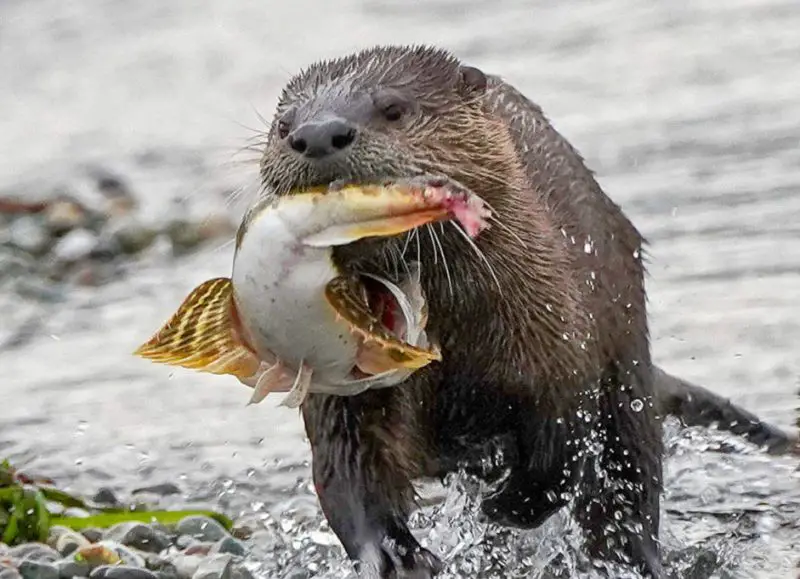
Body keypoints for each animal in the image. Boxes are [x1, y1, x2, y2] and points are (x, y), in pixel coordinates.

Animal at [255, 45, 798, 578]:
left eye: (393, 108)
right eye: (284, 125)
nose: (317, 134)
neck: (456, 343)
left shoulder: (562, 343)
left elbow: (559, 452)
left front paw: (507, 506)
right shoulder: (341, 391)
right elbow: (347, 469)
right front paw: (393, 555)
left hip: (629, 380)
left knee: (629, 490)